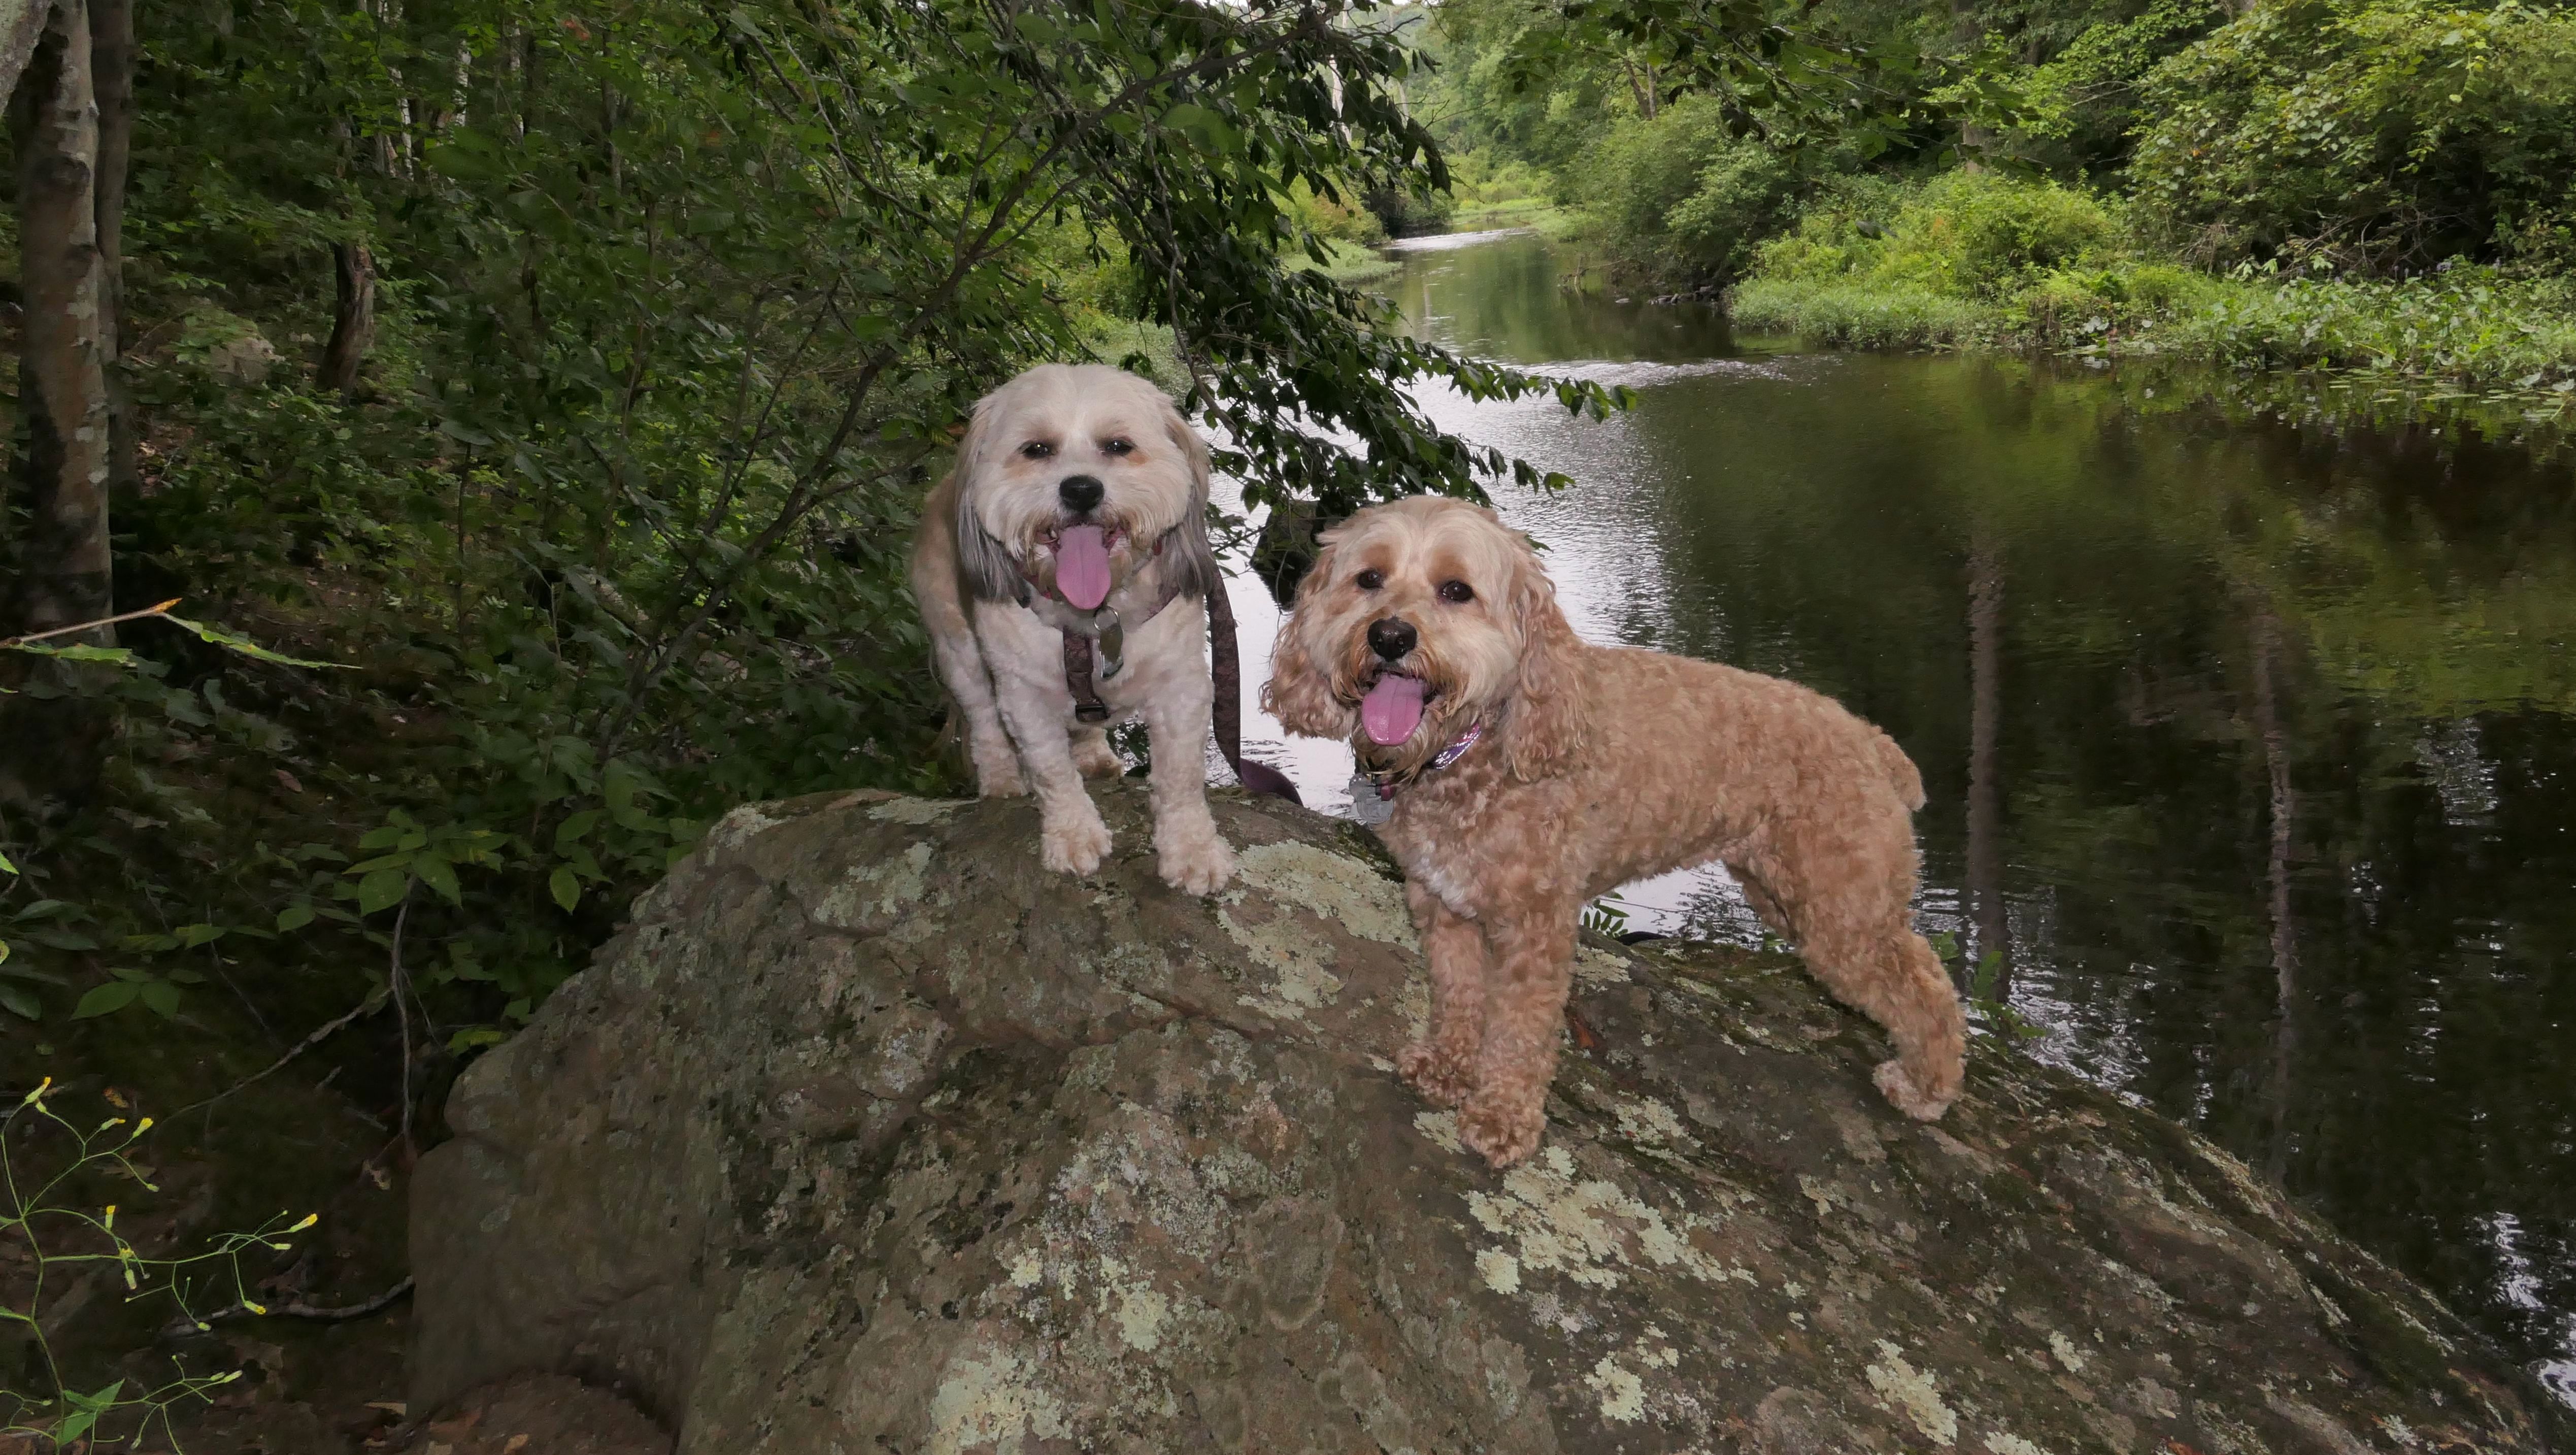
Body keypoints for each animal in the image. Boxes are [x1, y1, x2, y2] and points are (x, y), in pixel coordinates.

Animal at [909, 364, 1237, 894]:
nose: (1081, 489)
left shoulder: (1182, 687)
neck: (1094, 618)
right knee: (982, 717)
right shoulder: (1022, 695)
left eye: (1118, 445)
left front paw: (1192, 849)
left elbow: (1181, 776)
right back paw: (1000, 779)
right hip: (957, 646)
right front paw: (1072, 834)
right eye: (1036, 449)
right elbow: (1051, 771)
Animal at [1263, 496, 1967, 1167]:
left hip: (1840, 918)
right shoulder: (1443, 907)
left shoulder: (1536, 927)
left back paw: (1925, 1087)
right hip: (1786, 896)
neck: (1476, 748)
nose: (1388, 636)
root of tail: (1871, 741)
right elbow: (1459, 995)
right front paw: (1447, 1065)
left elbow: (1518, 1030)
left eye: (1456, 590)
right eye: (1368, 578)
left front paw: (1502, 1118)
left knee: (1928, 985)